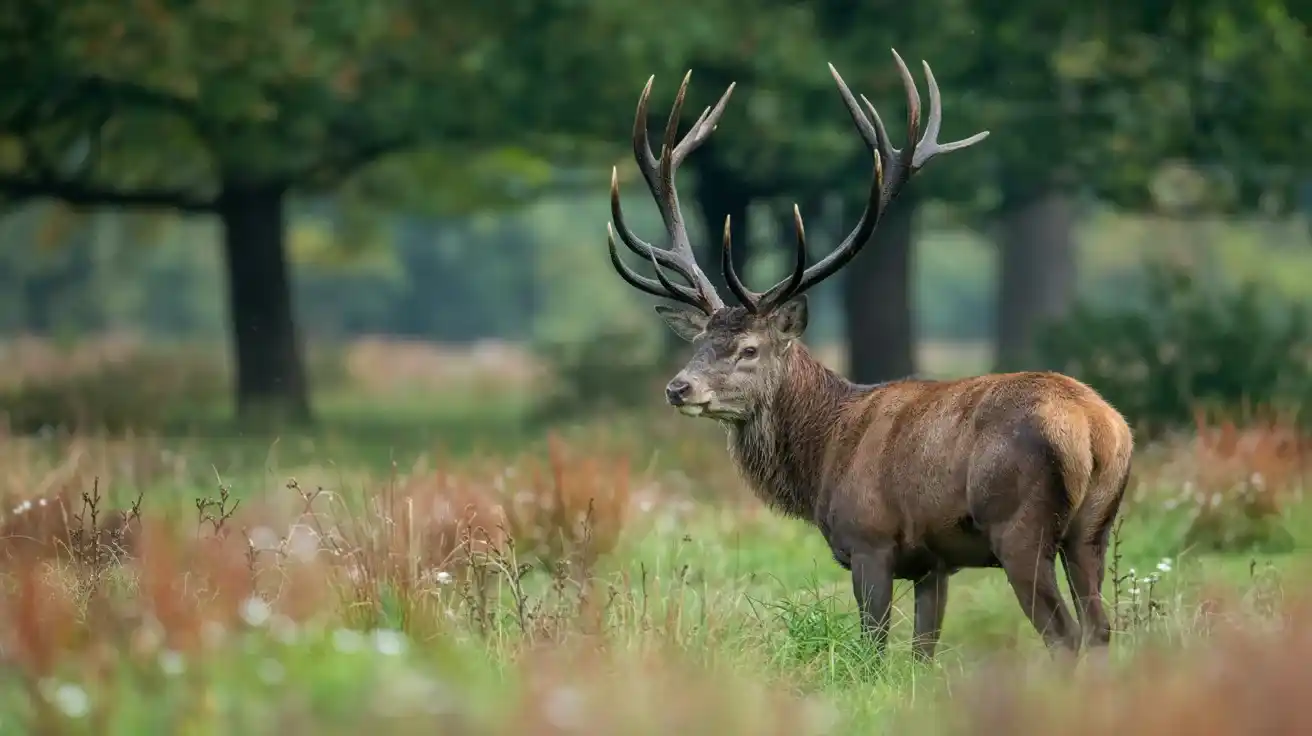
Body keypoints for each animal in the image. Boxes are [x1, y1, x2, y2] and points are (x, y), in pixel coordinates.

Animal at [603, 50, 1134, 661]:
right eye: (699, 341)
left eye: (749, 349)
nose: (678, 387)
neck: (822, 455)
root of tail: (1098, 429)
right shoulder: (935, 563)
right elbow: (923, 652)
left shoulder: (870, 541)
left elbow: (873, 649)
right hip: (1093, 528)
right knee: (1100, 629)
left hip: (1019, 527)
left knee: (1065, 635)